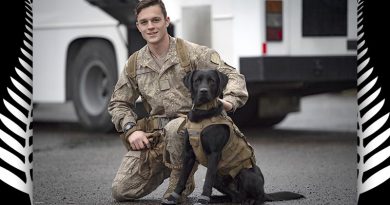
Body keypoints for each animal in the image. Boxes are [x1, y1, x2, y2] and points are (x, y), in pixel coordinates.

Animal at [161, 69, 304, 205]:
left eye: (212, 81)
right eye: (197, 81)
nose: (203, 91)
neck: (202, 114)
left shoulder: (214, 154)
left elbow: (207, 181)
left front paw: (203, 199)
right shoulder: (189, 154)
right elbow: (182, 178)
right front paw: (173, 197)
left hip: (245, 173)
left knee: (258, 197)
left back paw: (249, 200)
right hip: (219, 178)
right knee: (235, 197)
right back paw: (218, 199)